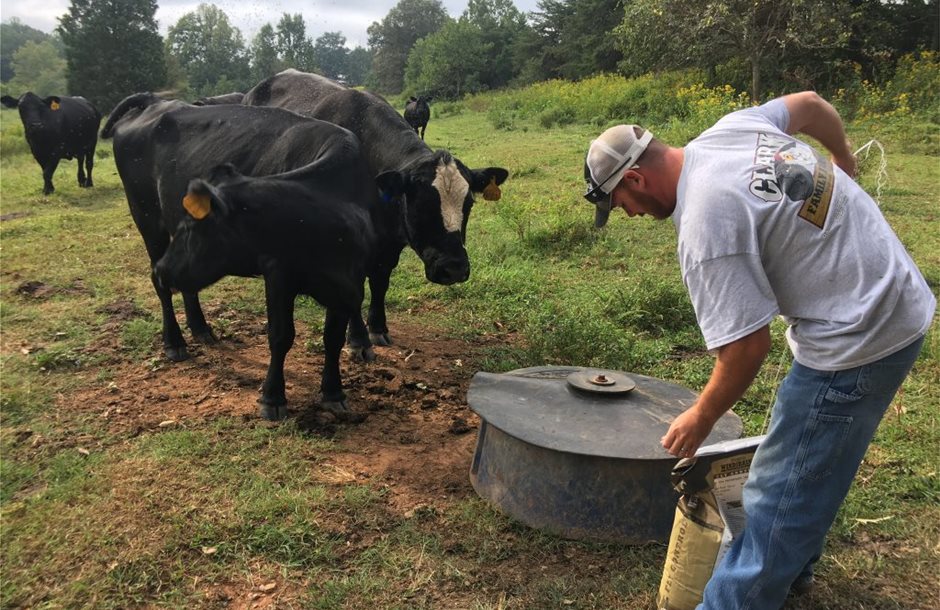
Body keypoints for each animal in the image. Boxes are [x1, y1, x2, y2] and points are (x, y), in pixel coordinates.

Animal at [104, 94, 392, 418]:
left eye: (190, 227)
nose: (165, 270)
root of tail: (154, 103)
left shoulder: (348, 282)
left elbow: (332, 338)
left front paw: (333, 391)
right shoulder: (278, 274)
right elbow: (280, 336)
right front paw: (272, 397)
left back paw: (200, 328)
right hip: (146, 218)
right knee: (162, 289)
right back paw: (174, 341)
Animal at [242, 68, 506, 352]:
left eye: (468, 203)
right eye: (420, 204)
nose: (454, 267)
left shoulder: (389, 245)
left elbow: (380, 284)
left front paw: (378, 328)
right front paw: (358, 338)